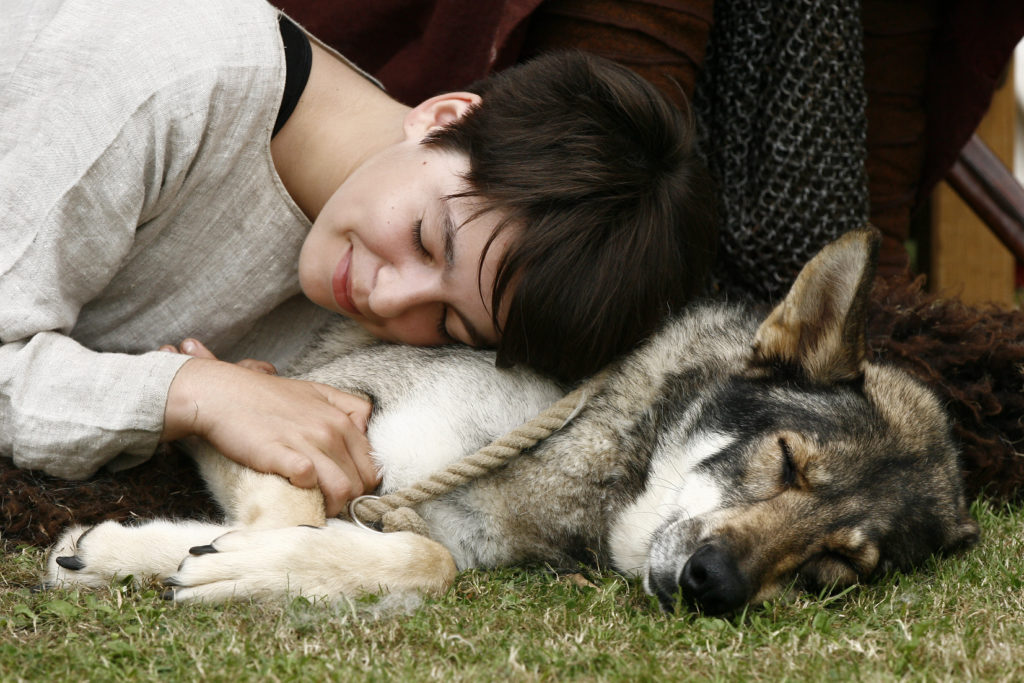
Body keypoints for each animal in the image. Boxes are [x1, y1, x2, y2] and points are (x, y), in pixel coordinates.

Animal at [44, 232, 978, 618]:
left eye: (837, 567)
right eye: (787, 462)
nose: (715, 583)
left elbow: (426, 560)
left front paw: (189, 557)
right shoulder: (305, 403)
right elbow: (306, 513)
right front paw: (211, 557)